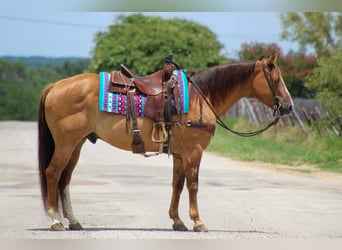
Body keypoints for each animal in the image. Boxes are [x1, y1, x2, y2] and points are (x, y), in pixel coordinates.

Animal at [38, 51, 294, 231]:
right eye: (276, 78)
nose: (288, 106)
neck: (201, 97)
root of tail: (54, 86)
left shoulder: (180, 154)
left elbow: (177, 185)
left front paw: (177, 221)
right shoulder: (194, 152)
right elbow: (193, 185)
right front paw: (198, 222)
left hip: (77, 144)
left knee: (65, 179)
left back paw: (73, 221)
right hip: (66, 144)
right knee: (53, 173)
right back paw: (55, 220)